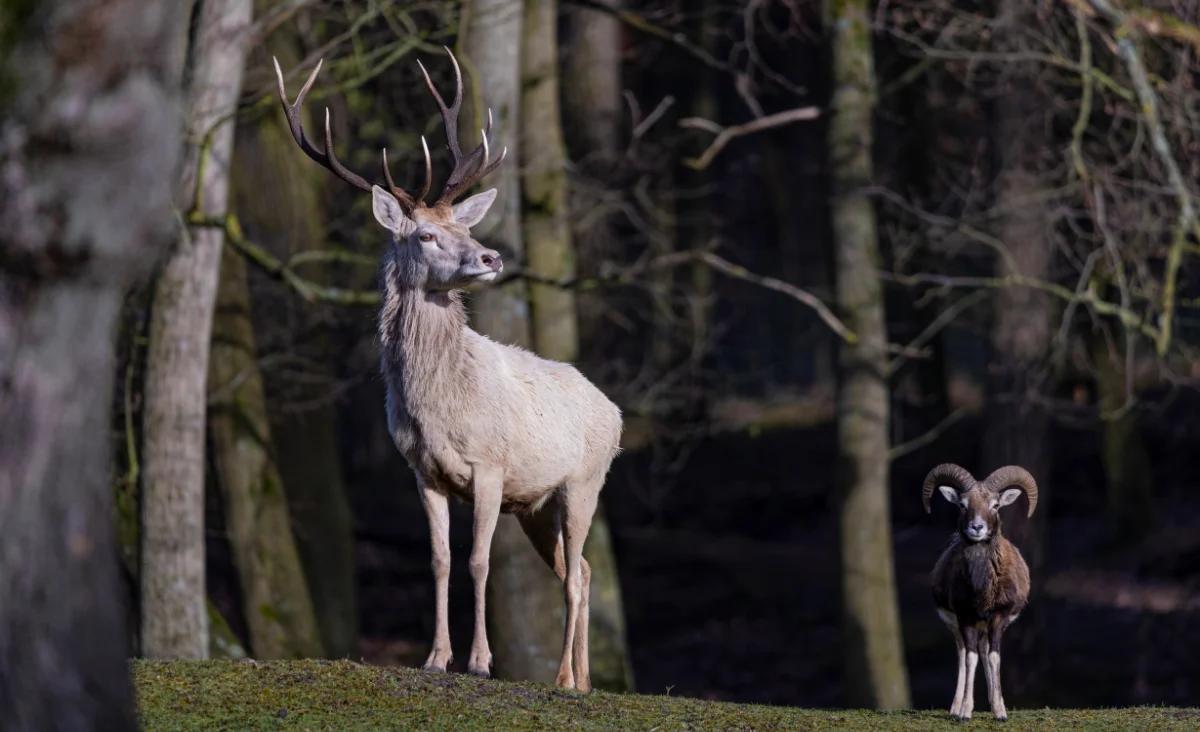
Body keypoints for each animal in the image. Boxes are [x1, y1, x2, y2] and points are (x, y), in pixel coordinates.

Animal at [272, 49, 622, 692]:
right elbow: (439, 559)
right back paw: (582, 680)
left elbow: (479, 560)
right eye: (428, 234)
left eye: (467, 227)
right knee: (581, 568)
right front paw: (435, 657)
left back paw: (563, 677)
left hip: (584, 480)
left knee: (576, 574)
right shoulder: (423, 471)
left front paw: (481, 662)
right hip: (537, 505)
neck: (439, 409)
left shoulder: (490, 465)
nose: (491, 256)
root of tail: (615, 412)